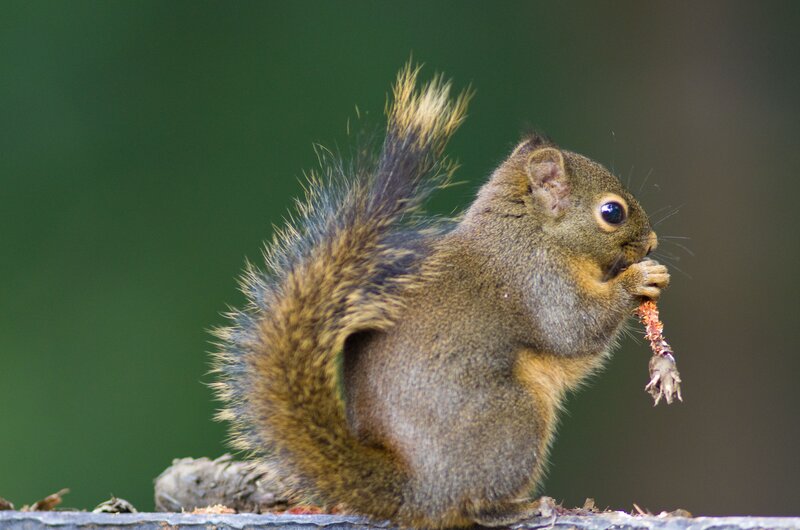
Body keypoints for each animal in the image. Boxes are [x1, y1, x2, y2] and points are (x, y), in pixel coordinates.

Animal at [212, 64, 669, 528]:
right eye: (612, 212)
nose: (651, 243)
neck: (532, 231)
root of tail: (419, 493)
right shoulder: (539, 281)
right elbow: (576, 329)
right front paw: (640, 278)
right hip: (512, 420)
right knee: (475, 506)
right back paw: (521, 507)